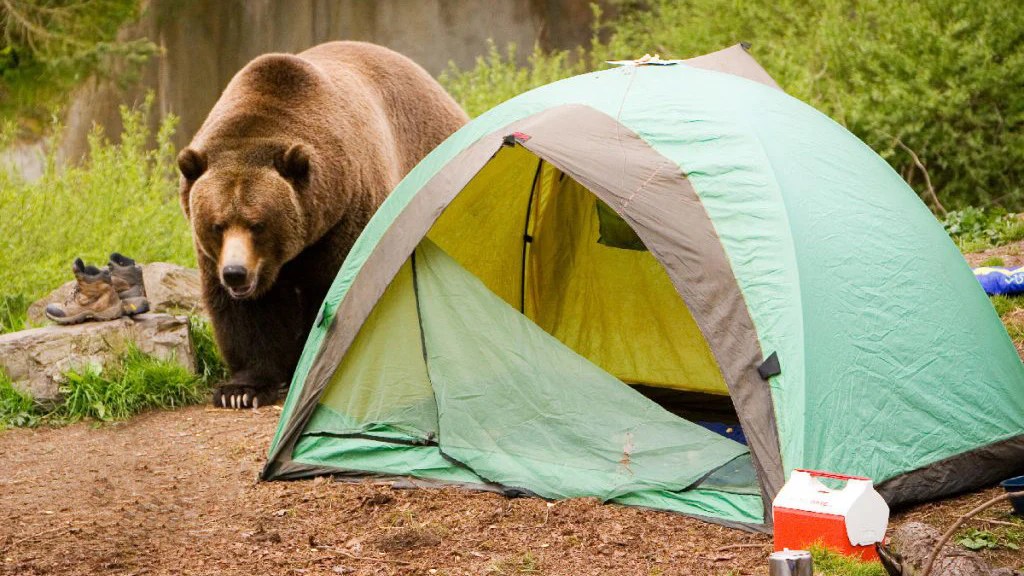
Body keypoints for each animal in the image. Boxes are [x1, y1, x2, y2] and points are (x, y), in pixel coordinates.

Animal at [179, 40, 468, 407]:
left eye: (258, 224)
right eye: (218, 225)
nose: (235, 273)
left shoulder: (346, 217)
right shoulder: (218, 257)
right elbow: (247, 314)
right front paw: (242, 390)